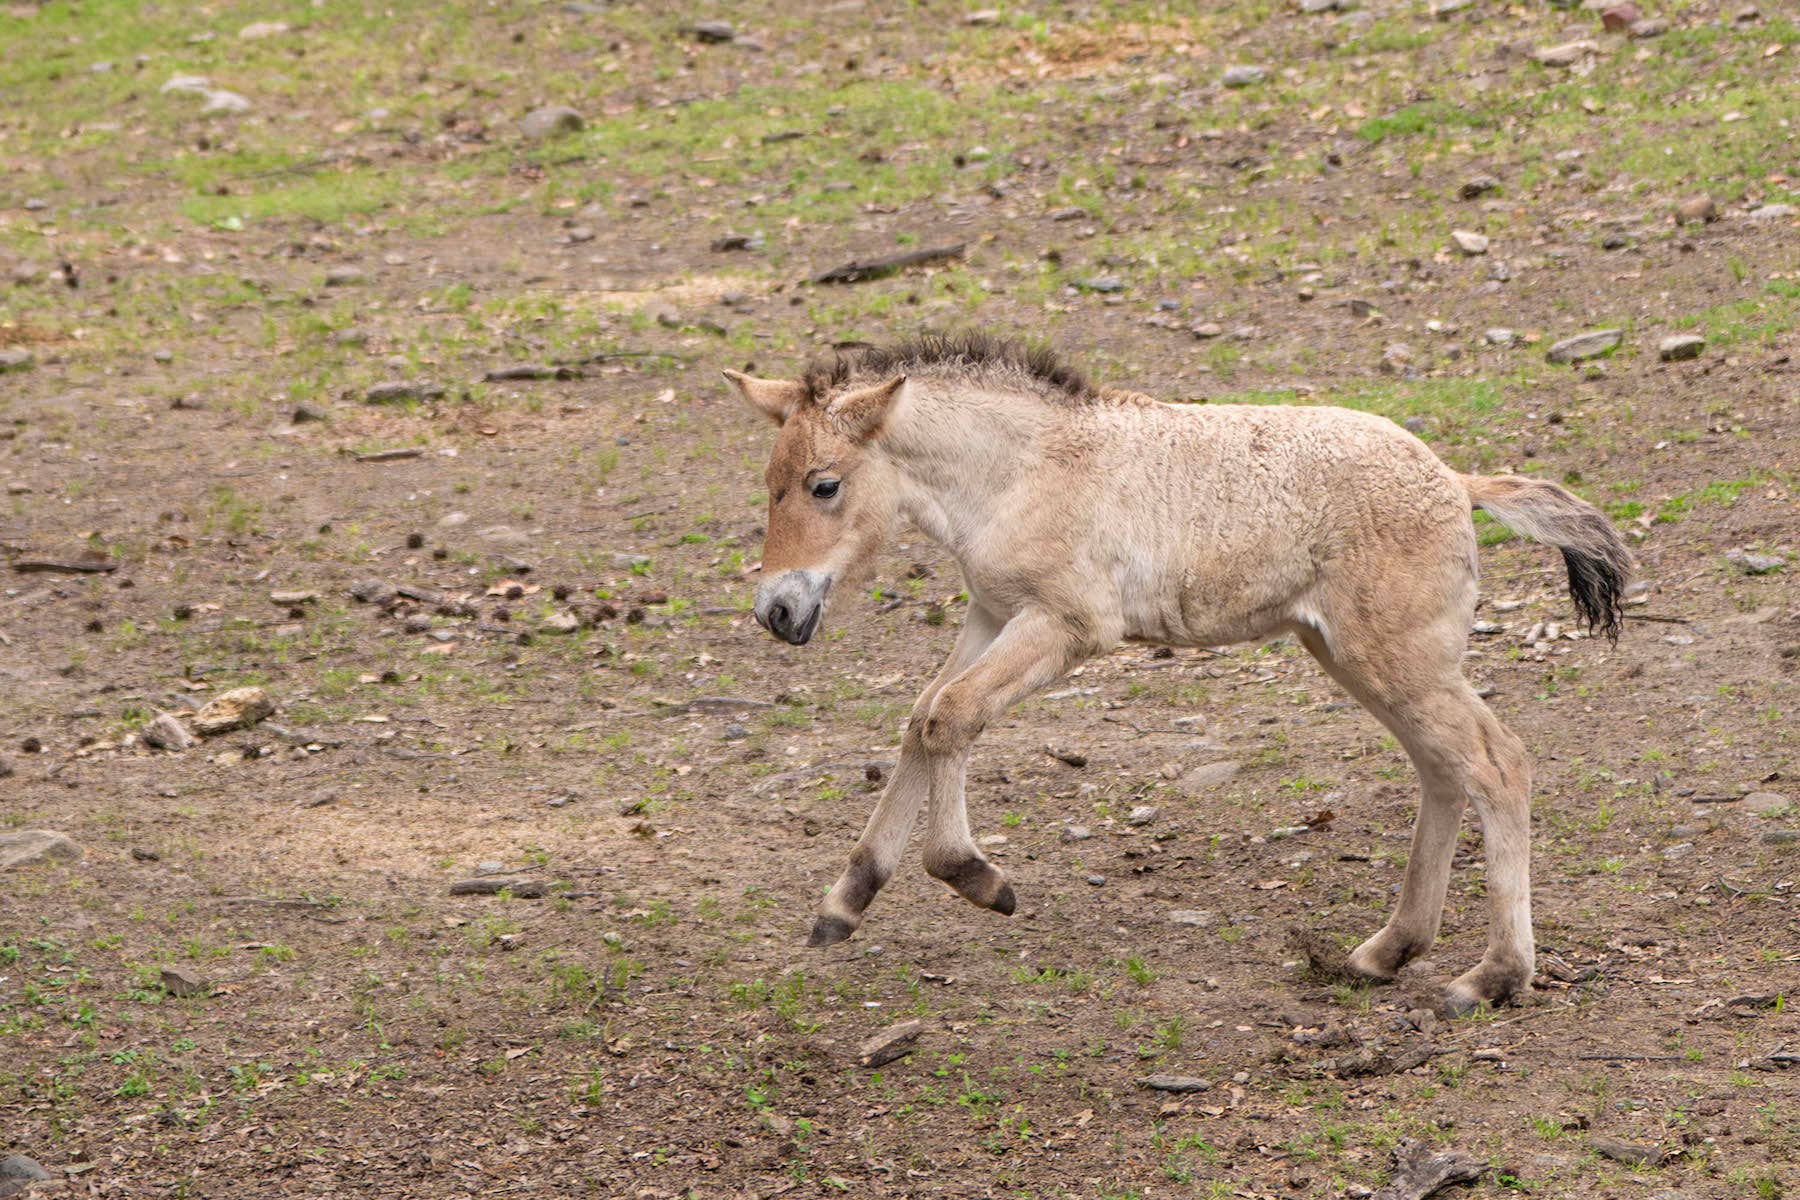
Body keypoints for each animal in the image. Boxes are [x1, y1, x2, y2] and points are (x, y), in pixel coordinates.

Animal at [724, 331, 1630, 1014]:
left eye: (824, 485)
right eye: (767, 485)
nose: (778, 611)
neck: (1025, 468)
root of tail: (1455, 480)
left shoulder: (1066, 625)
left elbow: (952, 716)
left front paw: (977, 878)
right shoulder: (990, 612)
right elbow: (926, 717)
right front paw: (845, 902)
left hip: (1395, 659)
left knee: (1497, 763)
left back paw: (1493, 976)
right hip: (1355, 657)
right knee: (1444, 772)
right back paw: (1385, 951)